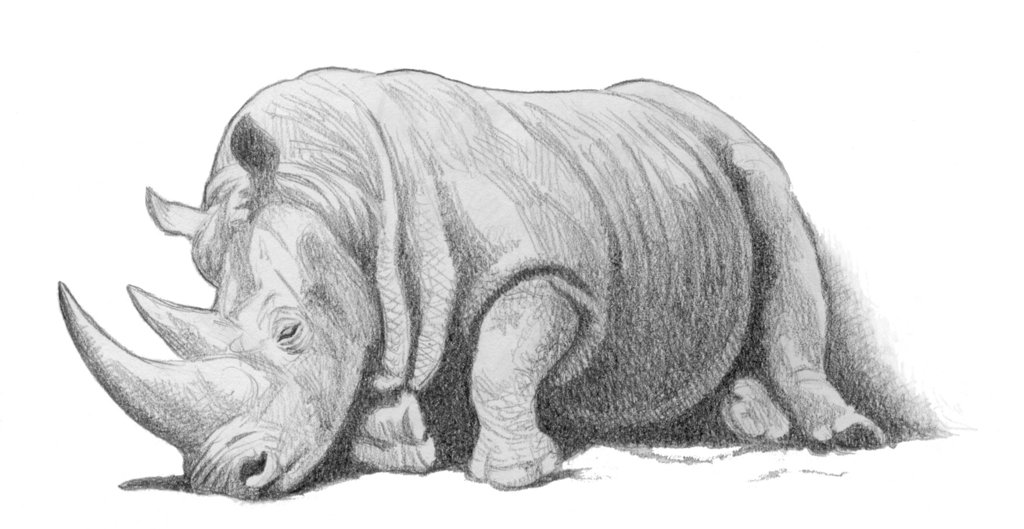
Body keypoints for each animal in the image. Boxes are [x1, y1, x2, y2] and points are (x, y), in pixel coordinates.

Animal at [58, 68, 942, 499]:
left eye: (289, 331)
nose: (222, 481)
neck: (339, 193)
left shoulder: (556, 276)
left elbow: (502, 357)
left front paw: (516, 474)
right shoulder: (389, 296)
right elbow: (391, 370)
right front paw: (402, 446)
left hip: (748, 155)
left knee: (783, 228)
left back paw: (837, 433)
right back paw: (745, 419)